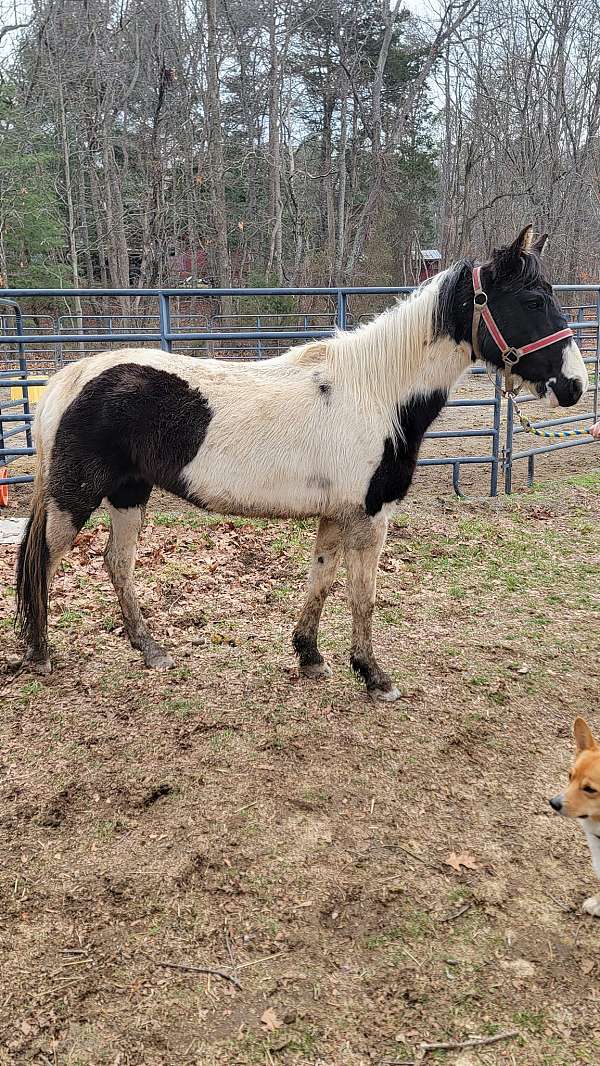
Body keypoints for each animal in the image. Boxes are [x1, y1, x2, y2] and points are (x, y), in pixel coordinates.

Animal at [14, 230, 588, 699]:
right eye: (533, 300)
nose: (574, 385)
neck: (375, 392)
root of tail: (70, 378)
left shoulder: (336, 515)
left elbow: (322, 580)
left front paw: (310, 657)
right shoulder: (370, 516)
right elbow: (363, 595)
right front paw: (374, 676)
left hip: (129, 492)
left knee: (117, 563)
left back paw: (149, 648)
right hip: (75, 496)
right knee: (44, 560)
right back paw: (40, 654)